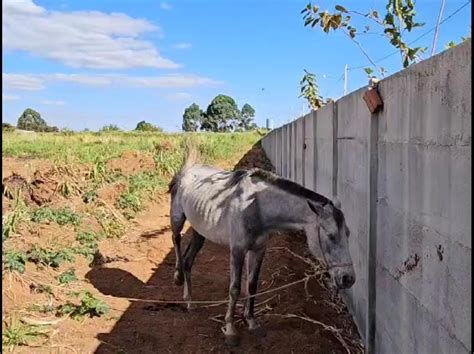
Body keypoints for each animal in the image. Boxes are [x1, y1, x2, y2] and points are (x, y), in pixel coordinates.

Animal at [168, 147, 354, 346]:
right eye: (331, 236)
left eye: (348, 233)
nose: (348, 279)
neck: (256, 206)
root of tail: (186, 171)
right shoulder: (237, 250)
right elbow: (234, 289)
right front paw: (230, 329)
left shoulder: (258, 250)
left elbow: (252, 285)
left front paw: (250, 321)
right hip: (177, 217)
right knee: (176, 239)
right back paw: (177, 276)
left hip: (200, 230)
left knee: (188, 260)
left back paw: (189, 301)